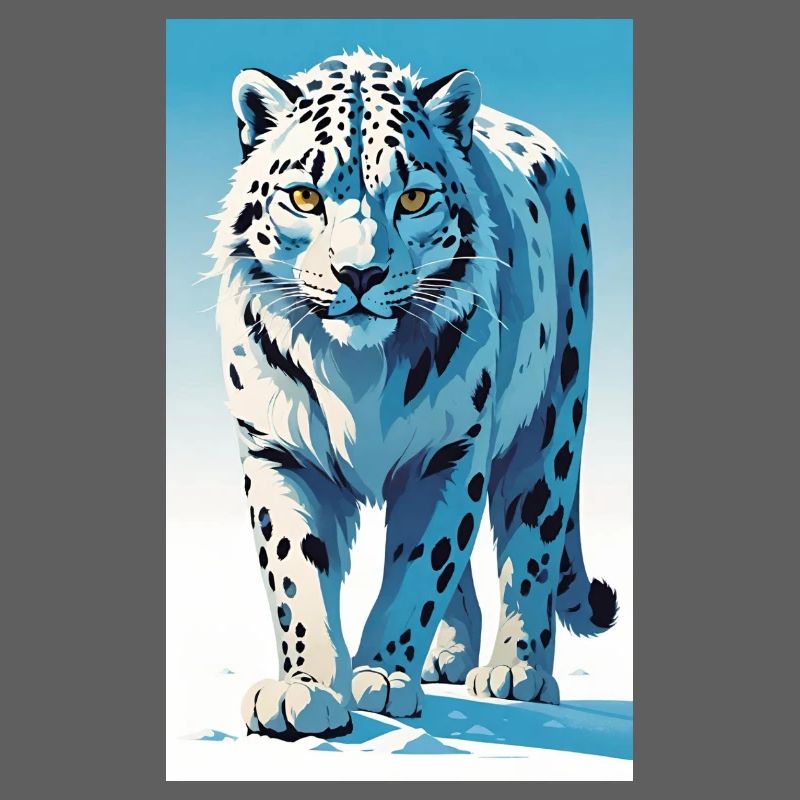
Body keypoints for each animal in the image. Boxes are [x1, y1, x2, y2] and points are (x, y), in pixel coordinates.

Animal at [208, 49, 618, 741]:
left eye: (414, 197)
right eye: (304, 196)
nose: (360, 273)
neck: (358, 371)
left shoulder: (449, 452)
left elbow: (421, 567)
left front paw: (381, 676)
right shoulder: (278, 449)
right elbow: (295, 572)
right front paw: (304, 691)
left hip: (551, 425)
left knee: (531, 543)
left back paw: (515, 672)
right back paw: (447, 658)